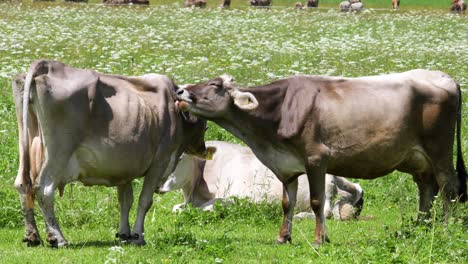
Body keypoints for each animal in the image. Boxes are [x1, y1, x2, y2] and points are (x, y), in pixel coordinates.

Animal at [12, 59, 214, 248]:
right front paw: (138, 236)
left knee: (23, 184)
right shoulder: (159, 162)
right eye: (203, 122)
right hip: (59, 152)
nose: (203, 148)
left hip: (26, 141)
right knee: (44, 188)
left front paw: (124, 234)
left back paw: (32, 236)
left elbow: (125, 200)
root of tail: (47, 65)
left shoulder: (124, 168)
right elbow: (144, 201)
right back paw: (58, 238)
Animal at [161, 141, 366, 220]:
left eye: (180, 158)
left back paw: (299, 216)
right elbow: (177, 208)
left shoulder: (235, 198)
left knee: (326, 212)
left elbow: (208, 206)